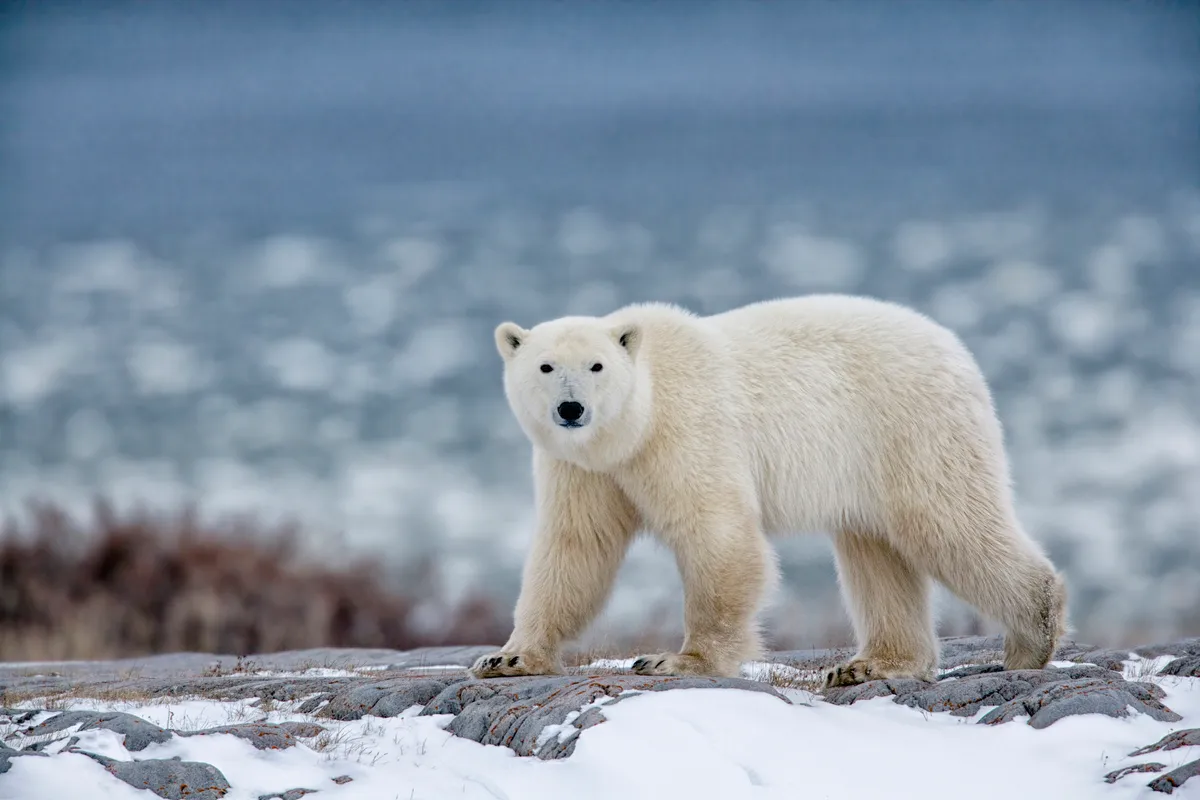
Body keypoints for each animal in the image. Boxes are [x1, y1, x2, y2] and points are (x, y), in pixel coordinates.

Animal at [470, 294, 1068, 686]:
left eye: (596, 365)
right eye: (546, 366)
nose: (572, 409)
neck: (635, 423)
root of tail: (955, 348)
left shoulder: (687, 432)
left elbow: (717, 534)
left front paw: (676, 660)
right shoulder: (582, 468)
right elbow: (575, 548)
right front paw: (507, 658)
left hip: (911, 427)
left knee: (947, 523)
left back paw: (1031, 637)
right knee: (876, 552)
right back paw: (869, 664)